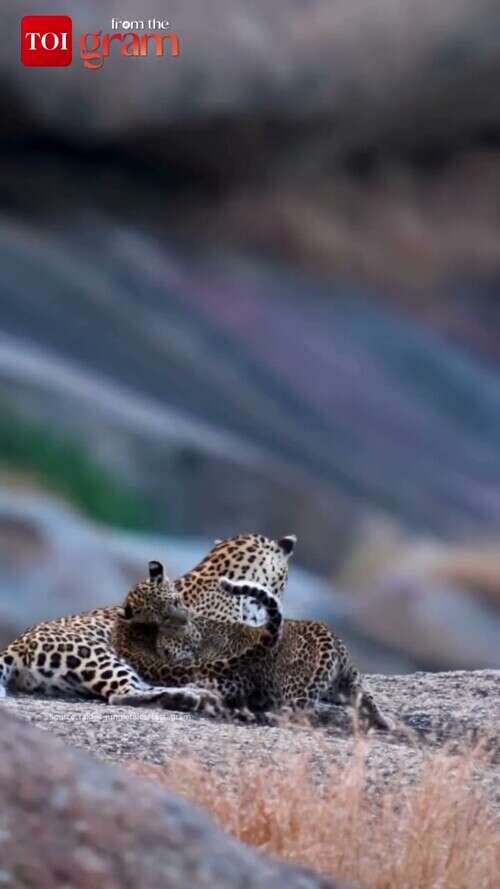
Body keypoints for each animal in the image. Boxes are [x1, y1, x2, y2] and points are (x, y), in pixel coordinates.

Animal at [114, 560, 393, 730]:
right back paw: (384, 722)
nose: (183, 619)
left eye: (175, 602)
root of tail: (327, 639)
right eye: (161, 616)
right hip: (350, 679)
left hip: (295, 689)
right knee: (366, 699)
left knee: (300, 714)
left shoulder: (234, 675)